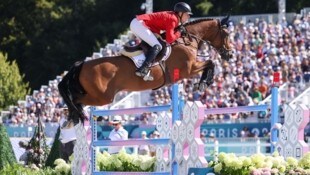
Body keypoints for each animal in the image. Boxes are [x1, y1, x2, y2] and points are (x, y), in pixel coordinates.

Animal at [58, 15, 232, 124]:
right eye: (227, 34)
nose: (230, 54)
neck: (187, 41)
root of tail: (81, 64)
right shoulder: (188, 69)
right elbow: (210, 63)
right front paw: (203, 83)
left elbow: (210, 63)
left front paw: (203, 83)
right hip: (102, 97)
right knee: (76, 100)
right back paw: (75, 115)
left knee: (74, 99)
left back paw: (73, 117)